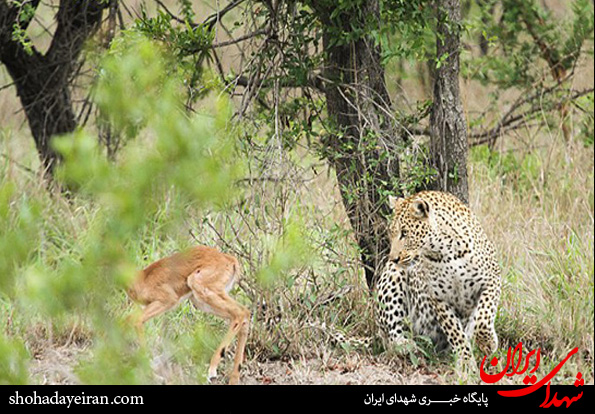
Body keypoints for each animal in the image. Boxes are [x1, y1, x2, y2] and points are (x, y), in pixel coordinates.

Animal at [378, 191, 502, 366]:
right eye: (391, 233)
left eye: (405, 233)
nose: (393, 258)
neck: (444, 251)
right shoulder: (439, 298)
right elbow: (455, 332)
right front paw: (465, 362)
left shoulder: (492, 279)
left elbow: (483, 317)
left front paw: (487, 342)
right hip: (394, 276)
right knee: (389, 333)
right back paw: (406, 345)